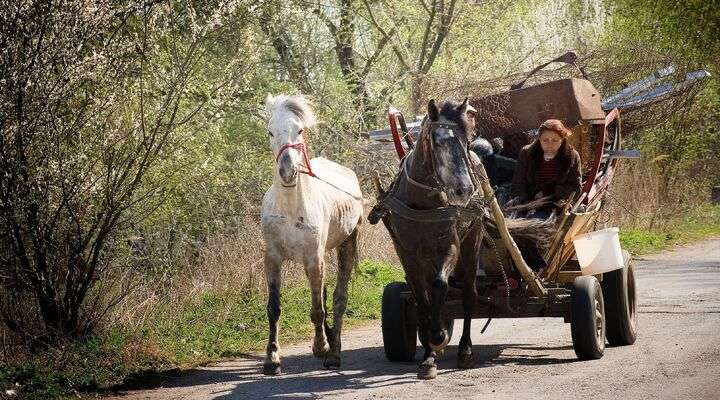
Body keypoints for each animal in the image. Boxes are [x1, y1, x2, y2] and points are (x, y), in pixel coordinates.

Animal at [260, 94, 362, 376]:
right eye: (270, 131)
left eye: (300, 130)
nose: (287, 171)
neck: (290, 209)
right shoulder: (272, 258)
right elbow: (274, 309)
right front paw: (272, 359)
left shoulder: (314, 259)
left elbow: (318, 309)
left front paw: (321, 347)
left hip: (347, 244)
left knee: (338, 299)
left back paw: (333, 352)